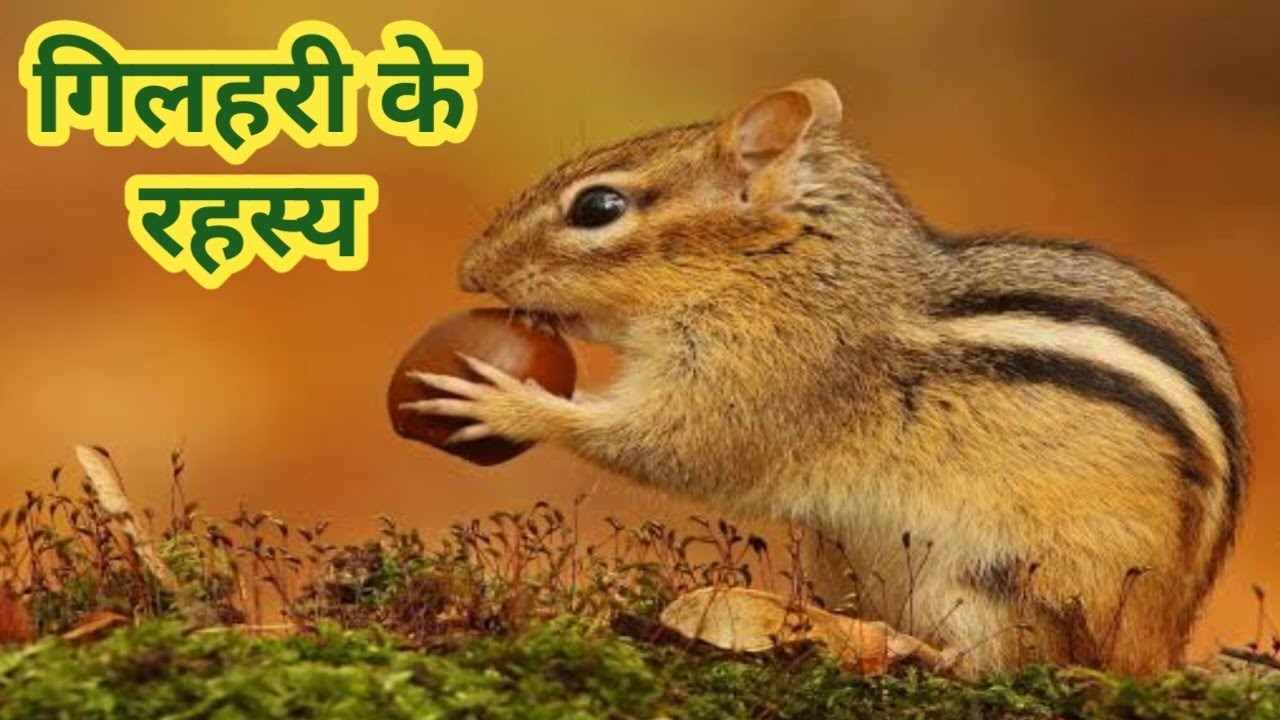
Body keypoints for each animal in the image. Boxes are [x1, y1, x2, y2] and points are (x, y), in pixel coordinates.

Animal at [405, 79, 1248, 674]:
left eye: (598, 207)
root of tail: (1157, 640)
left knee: (997, 663)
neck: (783, 267)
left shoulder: (763, 374)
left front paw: (507, 403)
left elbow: (673, 447)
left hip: (992, 582)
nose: (469, 270)